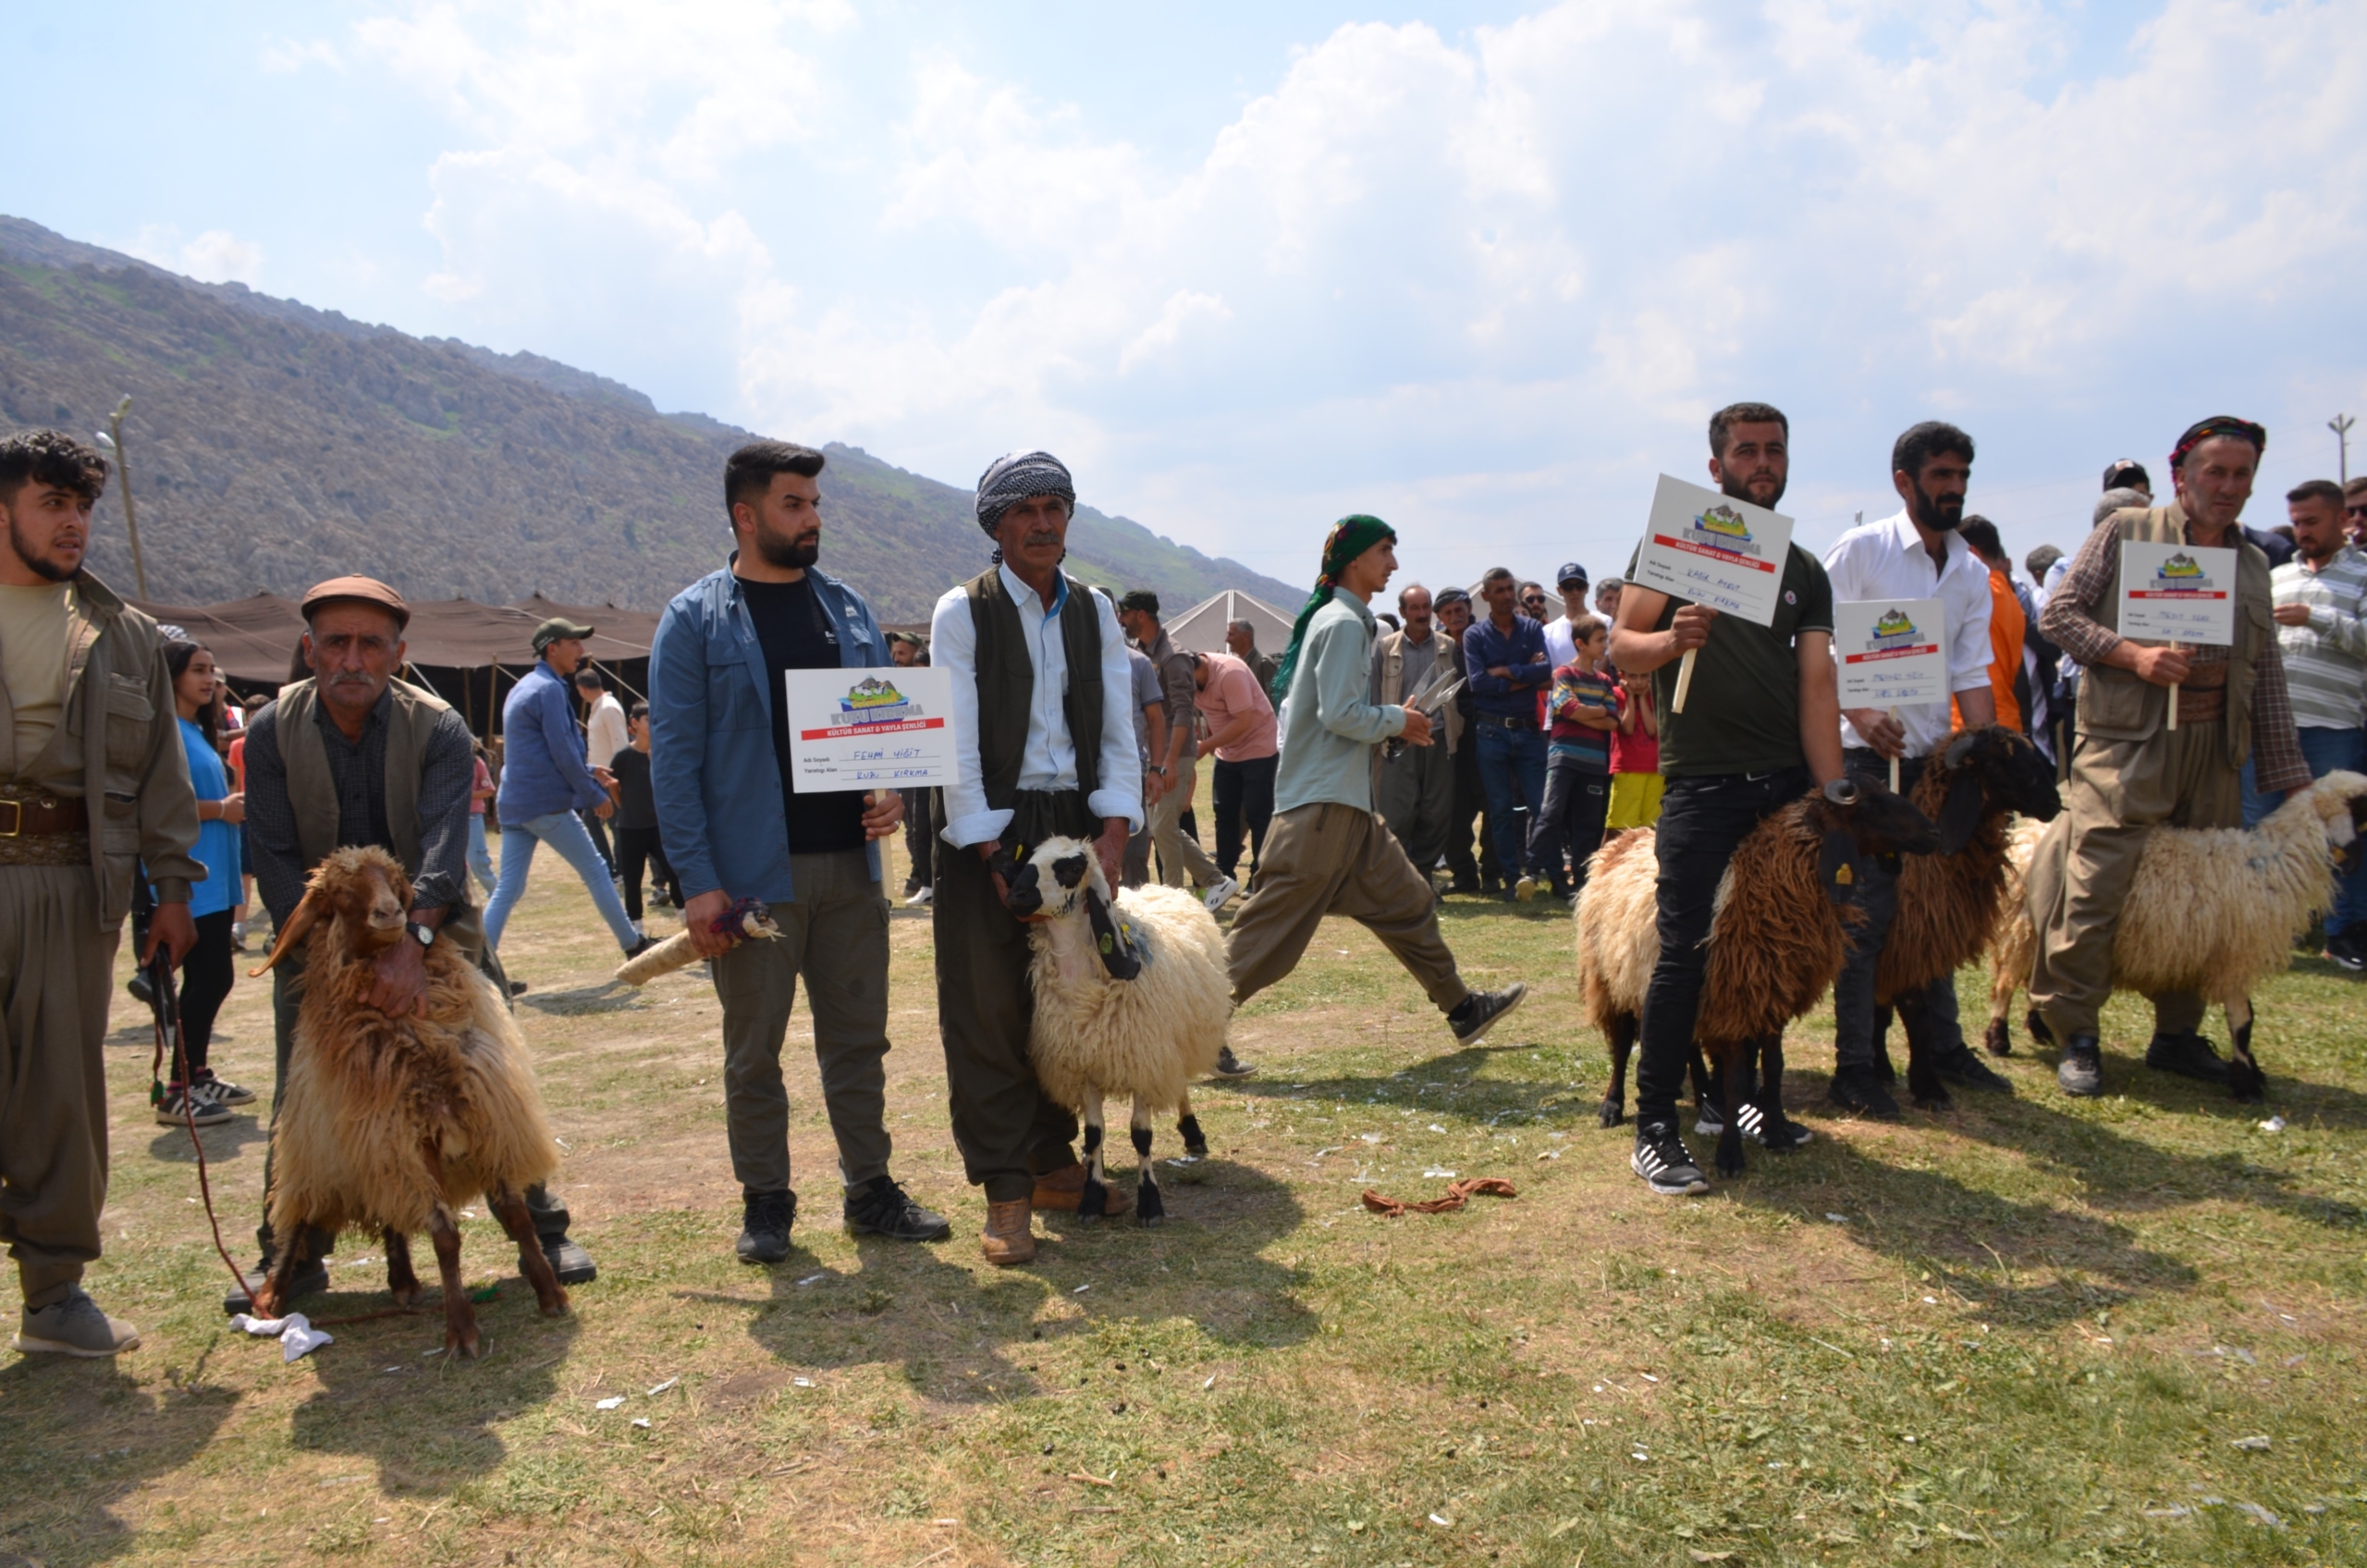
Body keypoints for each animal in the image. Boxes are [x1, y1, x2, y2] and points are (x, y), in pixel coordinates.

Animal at [250, 852, 568, 1354]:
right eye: (339, 895)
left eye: (396, 883)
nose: (390, 913)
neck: (425, 1054)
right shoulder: (411, 1144)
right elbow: (445, 1236)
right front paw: (461, 1330)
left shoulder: (484, 1122)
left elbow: (518, 1218)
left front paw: (550, 1293)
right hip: (320, 1156)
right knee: (297, 1221)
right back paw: (272, 1293)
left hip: (376, 1158)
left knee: (391, 1217)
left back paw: (402, 1280)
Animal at [1003, 833, 1231, 1231]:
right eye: (1028, 858)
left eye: (1071, 867)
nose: (1017, 895)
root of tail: (1159, 887)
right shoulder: (1084, 1067)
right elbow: (1095, 1135)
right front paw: (1092, 1199)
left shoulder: (1143, 1063)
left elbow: (1141, 1136)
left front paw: (1150, 1203)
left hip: (1171, 1042)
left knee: (1180, 1085)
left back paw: (1193, 1134)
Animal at [1571, 786, 1941, 1179]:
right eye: (1871, 804)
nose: (1934, 833)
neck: (1763, 890)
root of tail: (1624, 838)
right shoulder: (1733, 1000)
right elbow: (1735, 1081)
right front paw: (1730, 1154)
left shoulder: (1774, 994)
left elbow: (1774, 1068)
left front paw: (1777, 1132)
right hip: (1611, 977)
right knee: (1624, 1043)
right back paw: (1613, 1106)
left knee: (1685, 1041)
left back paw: (1703, 1094)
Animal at [1979, 767, 2367, 1098]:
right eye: (2363, 809)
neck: (2273, 862)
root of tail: (2026, 836)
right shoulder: (2234, 957)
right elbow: (2243, 1020)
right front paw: (2247, 1083)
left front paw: (2244, 1074)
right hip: (2025, 926)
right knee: (2006, 982)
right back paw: (1999, 1039)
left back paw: (2040, 1027)